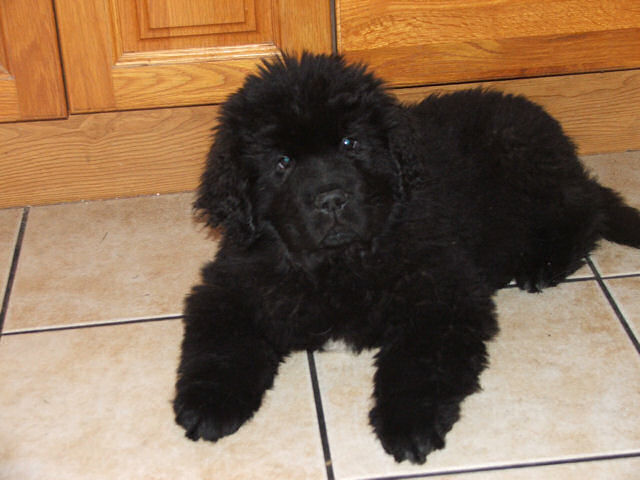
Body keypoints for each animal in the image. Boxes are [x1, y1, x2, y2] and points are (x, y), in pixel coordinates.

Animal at [174, 53, 640, 464]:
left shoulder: (443, 292)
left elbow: (419, 362)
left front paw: (408, 424)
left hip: (526, 167)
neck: (339, 263)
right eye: (282, 163)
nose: (331, 199)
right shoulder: (231, 285)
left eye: (351, 142)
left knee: (586, 211)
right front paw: (208, 403)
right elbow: (221, 345)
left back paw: (542, 265)